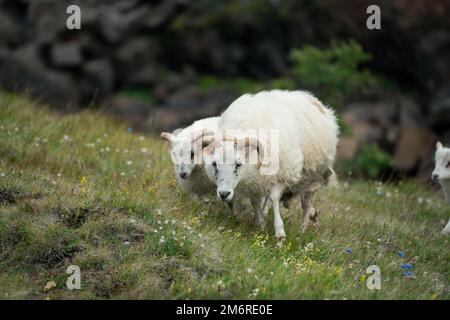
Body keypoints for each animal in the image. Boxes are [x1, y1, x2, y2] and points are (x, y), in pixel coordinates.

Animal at [203, 90, 338, 245]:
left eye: (238, 164)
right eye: (214, 164)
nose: (224, 194)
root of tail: (311, 98)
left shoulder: (280, 176)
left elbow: (274, 199)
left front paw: (280, 235)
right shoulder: (254, 182)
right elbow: (256, 202)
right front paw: (261, 226)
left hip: (314, 178)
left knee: (306, 205)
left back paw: (302, 230)